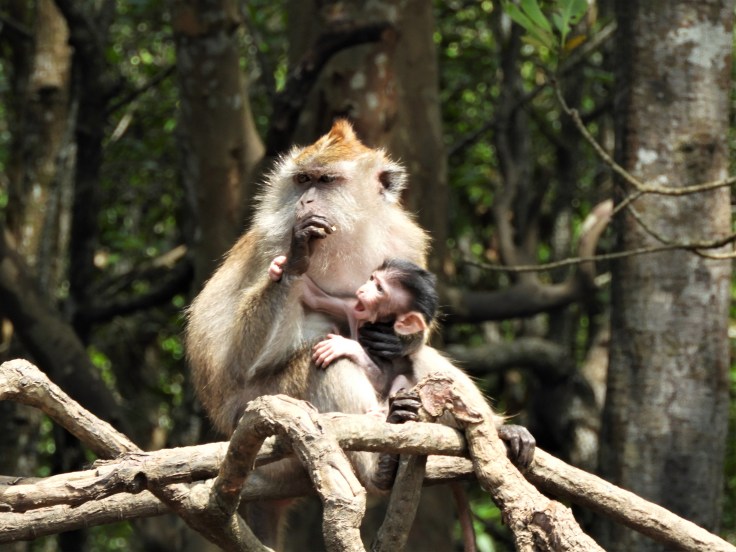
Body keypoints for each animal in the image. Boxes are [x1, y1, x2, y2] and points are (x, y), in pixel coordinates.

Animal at [186, 120, 535, 548]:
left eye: (325, 180)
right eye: (302, 180)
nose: (305, 202)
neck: (350, 235)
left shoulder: (405, 241)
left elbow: (414, 327)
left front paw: (401, 338)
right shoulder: (271, 243)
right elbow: (240, 361)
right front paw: (298, 257)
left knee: (421, 362)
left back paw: (490, 429)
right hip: (257, 422)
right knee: (321, 363)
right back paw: (379, 466)